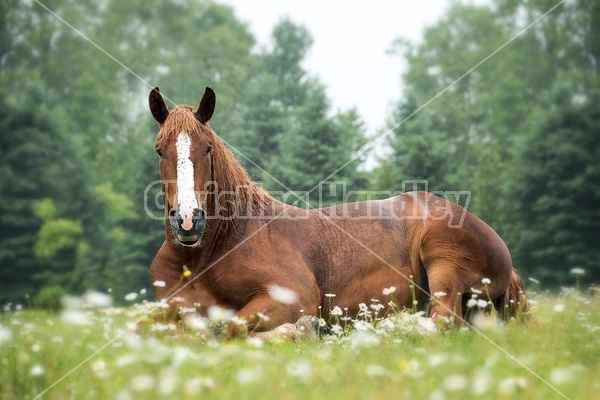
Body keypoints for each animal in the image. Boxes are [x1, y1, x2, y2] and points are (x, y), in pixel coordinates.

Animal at [148, 86, 528, 338]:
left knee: (443, 321)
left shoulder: (291, 297)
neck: (210, 253)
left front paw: (299, 331)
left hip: (443, 259)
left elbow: (223, 328)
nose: (188, 220)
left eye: (207, 148)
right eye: (159, 150)